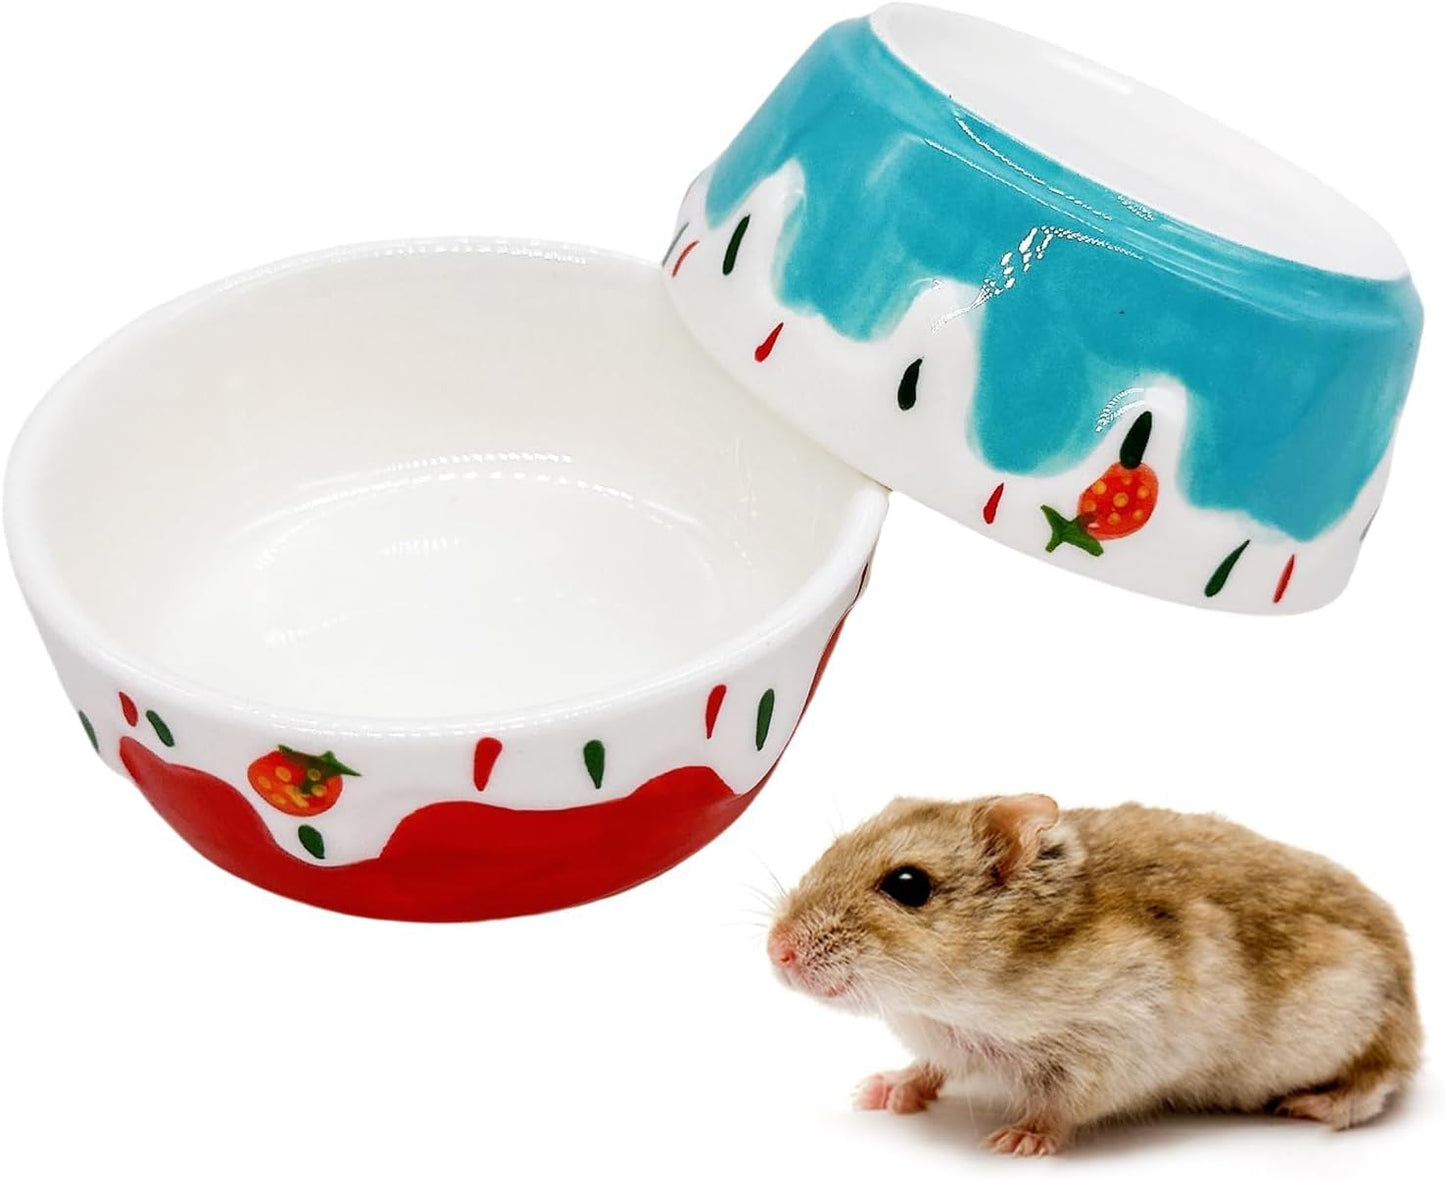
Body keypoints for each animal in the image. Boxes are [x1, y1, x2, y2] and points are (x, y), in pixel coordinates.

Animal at [766, 794, 1420, 1156]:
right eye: (837, 846)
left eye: (908, 885)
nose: (776, 951)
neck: (952, 1006)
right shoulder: (945, 1040)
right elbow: (928, 1067)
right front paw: (878, 1090)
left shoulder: (1110, 1046)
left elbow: (1062, 1105)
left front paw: (1015, 1142)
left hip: (1369, 1019)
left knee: (1381, 1081)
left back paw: (1313, 1106)